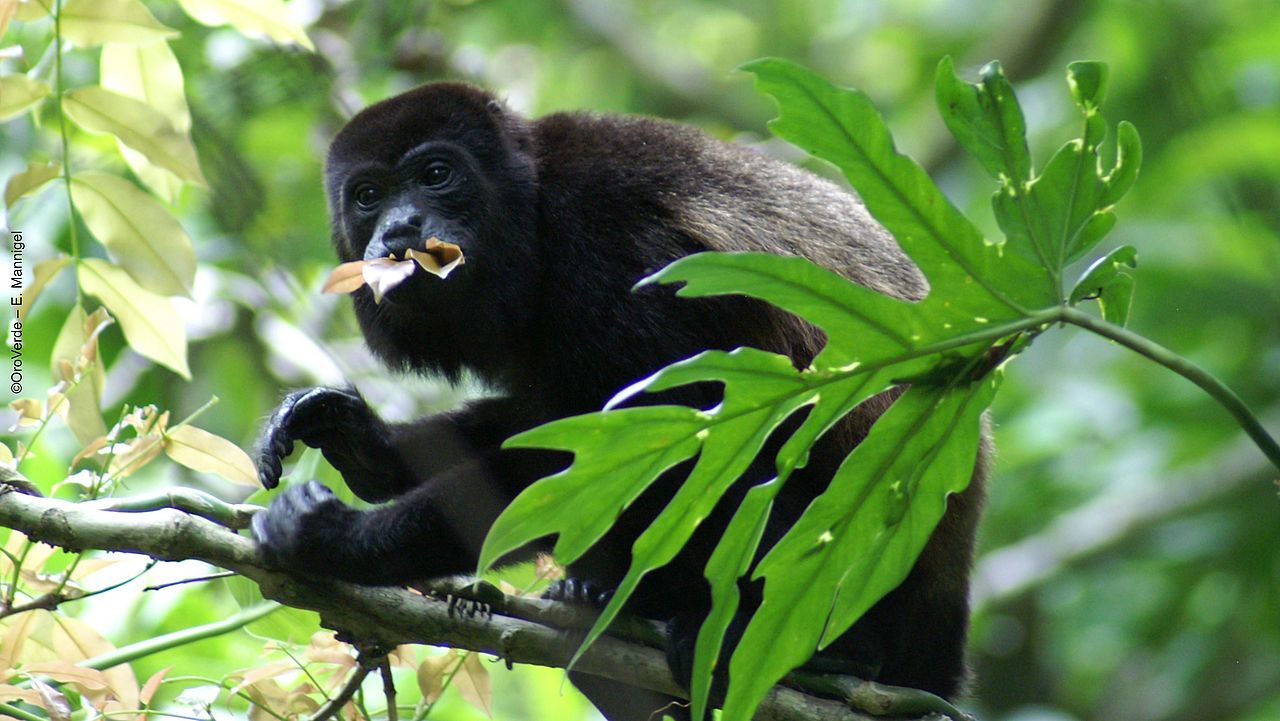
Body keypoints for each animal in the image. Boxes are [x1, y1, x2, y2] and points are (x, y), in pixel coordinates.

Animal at [252, 81, 988, 717]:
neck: (532, 217)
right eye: (368, 195)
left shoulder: (609, 244)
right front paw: (361, 441)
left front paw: (341, 538)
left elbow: (662, 436)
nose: (399, 228)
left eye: (436, 174)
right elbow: (545, 421)